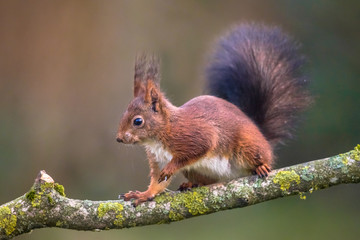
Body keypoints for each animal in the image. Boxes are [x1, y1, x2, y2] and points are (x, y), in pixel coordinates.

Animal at [115, 23, 310, 205]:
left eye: (137, 121)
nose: (119, 138)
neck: (162, 132)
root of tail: (261, 134)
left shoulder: (195, 134)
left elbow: (199, 148)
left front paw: (172, 167)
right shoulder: (157, 158)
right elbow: (158, 182)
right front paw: (144, 194)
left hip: (248, 145)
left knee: (262, 156)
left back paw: (261, 166)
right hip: (195, 171)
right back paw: (192, 184)